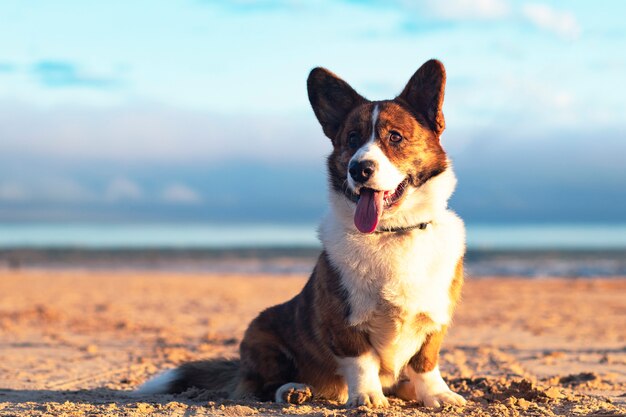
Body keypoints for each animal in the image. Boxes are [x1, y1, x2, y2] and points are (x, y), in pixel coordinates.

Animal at [138, 60, 468, 408]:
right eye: (352, 138)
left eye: (395, 137)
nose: (358, 169)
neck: (392, 231)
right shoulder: (343, 321)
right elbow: (362, 362)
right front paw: (366, 396)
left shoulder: (436, 318)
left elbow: (425, 363)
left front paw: (438, 394)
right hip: (261, 334)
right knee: (262, 385)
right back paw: (294, 390)